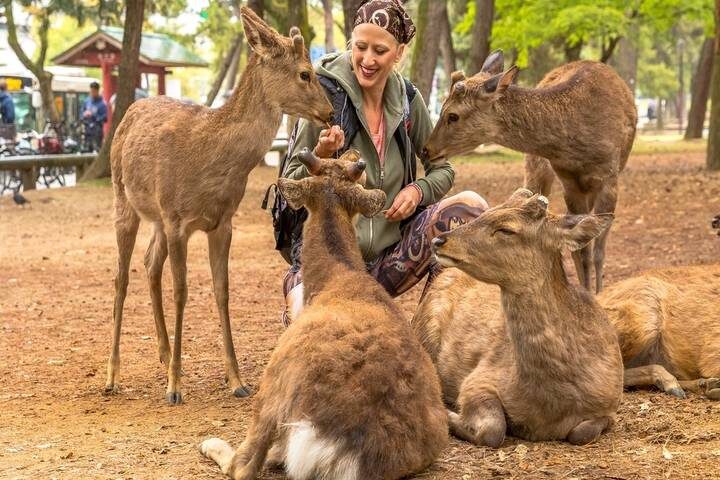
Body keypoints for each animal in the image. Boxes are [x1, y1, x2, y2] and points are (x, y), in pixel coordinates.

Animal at [105, 7, 334, 405]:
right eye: (305, 73)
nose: (331, 111)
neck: (209, 159)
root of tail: (131, 110)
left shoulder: (223, 222)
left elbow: (222, 290)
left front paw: (237, 380)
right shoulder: (177, 219)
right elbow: (182, 292)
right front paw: (175, 387)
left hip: (157, 219)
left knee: (150, 263)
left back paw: (164, 353)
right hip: (125, 201)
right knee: (122, 276)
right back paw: (113, 376)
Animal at [200, 149, 448, 480]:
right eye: (340, 162)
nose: (353, 152)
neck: (333, 278)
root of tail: (348, 450)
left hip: (276, 382)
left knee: (246, 463)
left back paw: (210, 443)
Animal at [413, 188, 623, 447]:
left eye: (507, 229)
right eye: (488, 212)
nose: (439, 241)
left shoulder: (610, 404)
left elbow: (581, 433)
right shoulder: (478, 379)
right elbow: (493, 429)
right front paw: (451, 415)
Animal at [421, 50, 637, 293]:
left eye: (453, 115)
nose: (426, 150)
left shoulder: (609, 176)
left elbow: (598, 250)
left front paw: (599, 293)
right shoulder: (568, 180)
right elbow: (581, 250)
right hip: (536, 167)